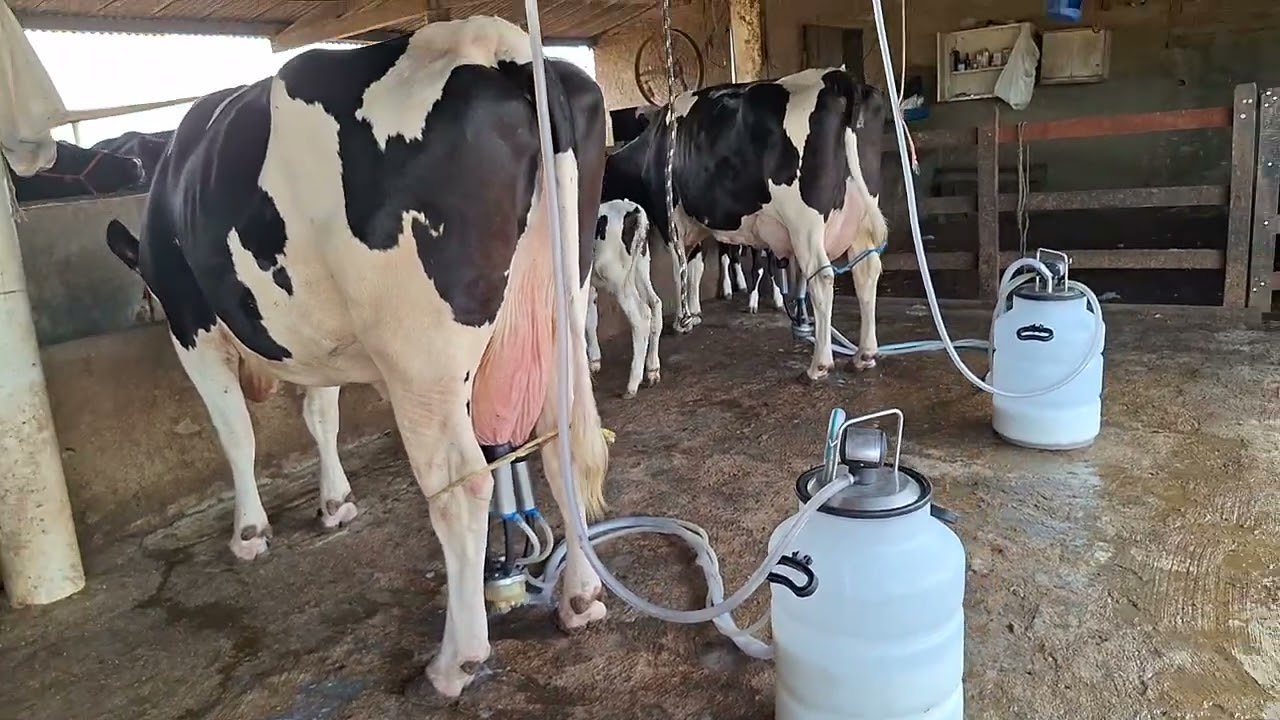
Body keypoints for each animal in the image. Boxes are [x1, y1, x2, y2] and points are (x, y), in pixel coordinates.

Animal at [101, 16, 611, 699]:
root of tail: (498, 44)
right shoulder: (319, 342)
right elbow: (322, 414)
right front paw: (335, 502)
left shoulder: (193, 331)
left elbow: (236, 436)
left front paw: (248, 532)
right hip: (561, 309)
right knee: (563, 449)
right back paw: (580, 598)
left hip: (421, 357)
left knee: (462, 486)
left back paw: (455, 661)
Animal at [585, 199, 661, 399]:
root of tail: (634, 210)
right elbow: (590, 319)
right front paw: (593, 361)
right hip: (640, 267)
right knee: (655, 304)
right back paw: (652, 370)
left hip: (617, 278)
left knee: (641, 316)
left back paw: (632, 384)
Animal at [603, 68, 891, 382]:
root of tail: (838, 78)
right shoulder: (696, 224)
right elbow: (695, 268)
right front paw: (695, 312)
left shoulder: (670, 221)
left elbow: (681, 270)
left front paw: (683, 319)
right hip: (861, 215)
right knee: (867, 271)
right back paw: (865, 354)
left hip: (805, 223)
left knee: (823, 277)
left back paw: (819, 365)